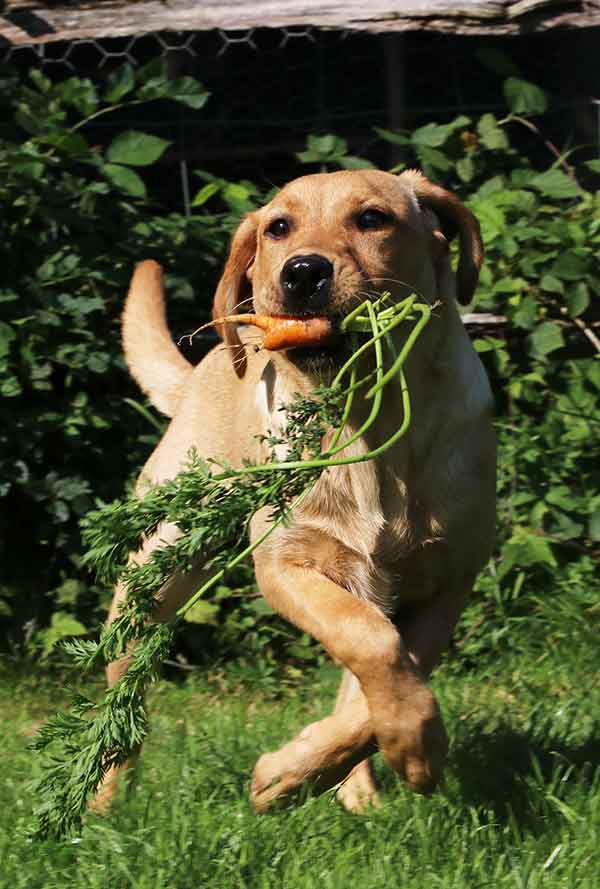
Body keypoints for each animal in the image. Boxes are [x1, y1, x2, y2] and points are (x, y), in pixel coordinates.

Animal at [96, 166, 494, 812]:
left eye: (372, 218)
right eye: (278, 228)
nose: (303, 272)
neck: (366, 425)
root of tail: (202, 371)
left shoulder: (447, 581)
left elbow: (382, 676)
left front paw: (318, 769)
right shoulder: (287, 564)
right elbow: (371, 643)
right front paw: (304, 772)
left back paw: (355, 792)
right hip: (153, 576)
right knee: (120, 706)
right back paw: (104, 805)